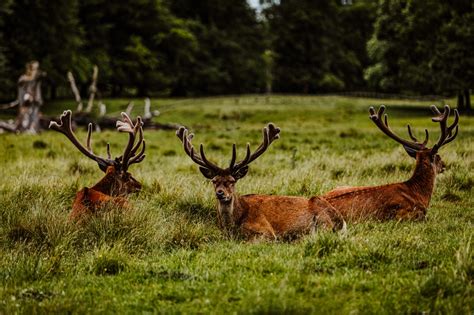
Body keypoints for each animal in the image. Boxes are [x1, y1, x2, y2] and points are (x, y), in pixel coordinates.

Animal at [177, 124, 344, 241]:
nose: (220, 193)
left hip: (323, 222)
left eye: (232, 181)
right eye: (214, 181)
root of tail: (341, 221)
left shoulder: (266, 231)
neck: (232, 225)